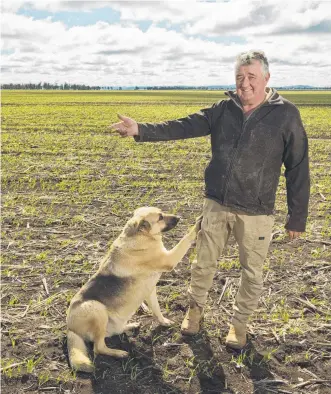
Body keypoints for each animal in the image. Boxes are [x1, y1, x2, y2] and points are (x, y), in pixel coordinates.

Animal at [65, 206, 200, 372]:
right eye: (160, 217)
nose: (179, 217)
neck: (142, 236)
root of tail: (71, 329)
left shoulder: (150, 290)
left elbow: (156, 309)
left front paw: (163, 321)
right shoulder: (169, 259)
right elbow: (185, 239)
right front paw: (197, 225)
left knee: (111, 334)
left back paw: (130, 326)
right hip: (96, 308)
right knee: (99, 347)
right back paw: (119, 353)